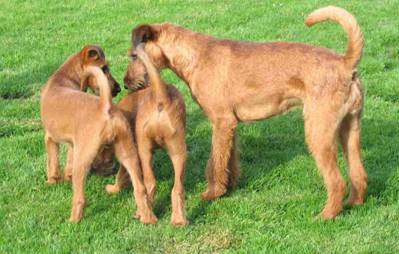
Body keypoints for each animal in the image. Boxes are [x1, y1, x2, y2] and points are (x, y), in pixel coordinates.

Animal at [40, 44, 156, 223]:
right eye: (104, 68)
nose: (118, 88)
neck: (62, 78)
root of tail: (105, 105)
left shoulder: (53, 139)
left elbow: (55, 162)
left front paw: (53, 181)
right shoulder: (67, 142)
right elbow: (61, 163)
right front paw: (60, 179)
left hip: (84, 158)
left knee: (80, 197)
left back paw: (73, 221)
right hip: (128, 152)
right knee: (140, 188)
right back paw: (148, 218)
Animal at [94, 44, 189, 225]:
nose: (124, 85)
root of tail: (161, 97)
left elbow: (121, 175)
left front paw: (113, 188)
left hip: (145, 151)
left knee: (149, 184)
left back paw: (142, 215)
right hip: (177, 151)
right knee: (176, 188)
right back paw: (179, 220)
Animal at [129, 6, 368, 220]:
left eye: (133, 56)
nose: (126, 83)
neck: (194, 57)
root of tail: (345, 63)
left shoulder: (221, 121)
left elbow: (214, 163)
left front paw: (212, 194)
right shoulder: (230, 124)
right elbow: (229, 160)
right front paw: (229, 187)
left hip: (318, 132)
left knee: (337, 181)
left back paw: (326, 215)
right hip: (349, 128)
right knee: (359, 174)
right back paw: (354, 202)